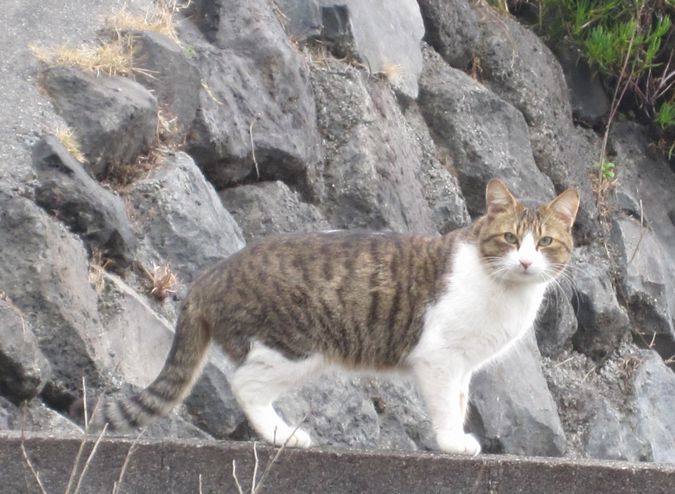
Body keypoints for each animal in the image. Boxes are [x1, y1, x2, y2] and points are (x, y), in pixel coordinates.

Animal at [86, 178, 580, 456]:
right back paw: (282, 435)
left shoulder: (464, 367)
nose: (526, 262)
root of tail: (209, 275)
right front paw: (451, 442)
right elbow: (445, 407)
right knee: (244, 384)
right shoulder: (440, 358)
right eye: (510, 238)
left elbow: (458, 402)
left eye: (546, 243)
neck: (507, 291)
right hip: (292, 348)